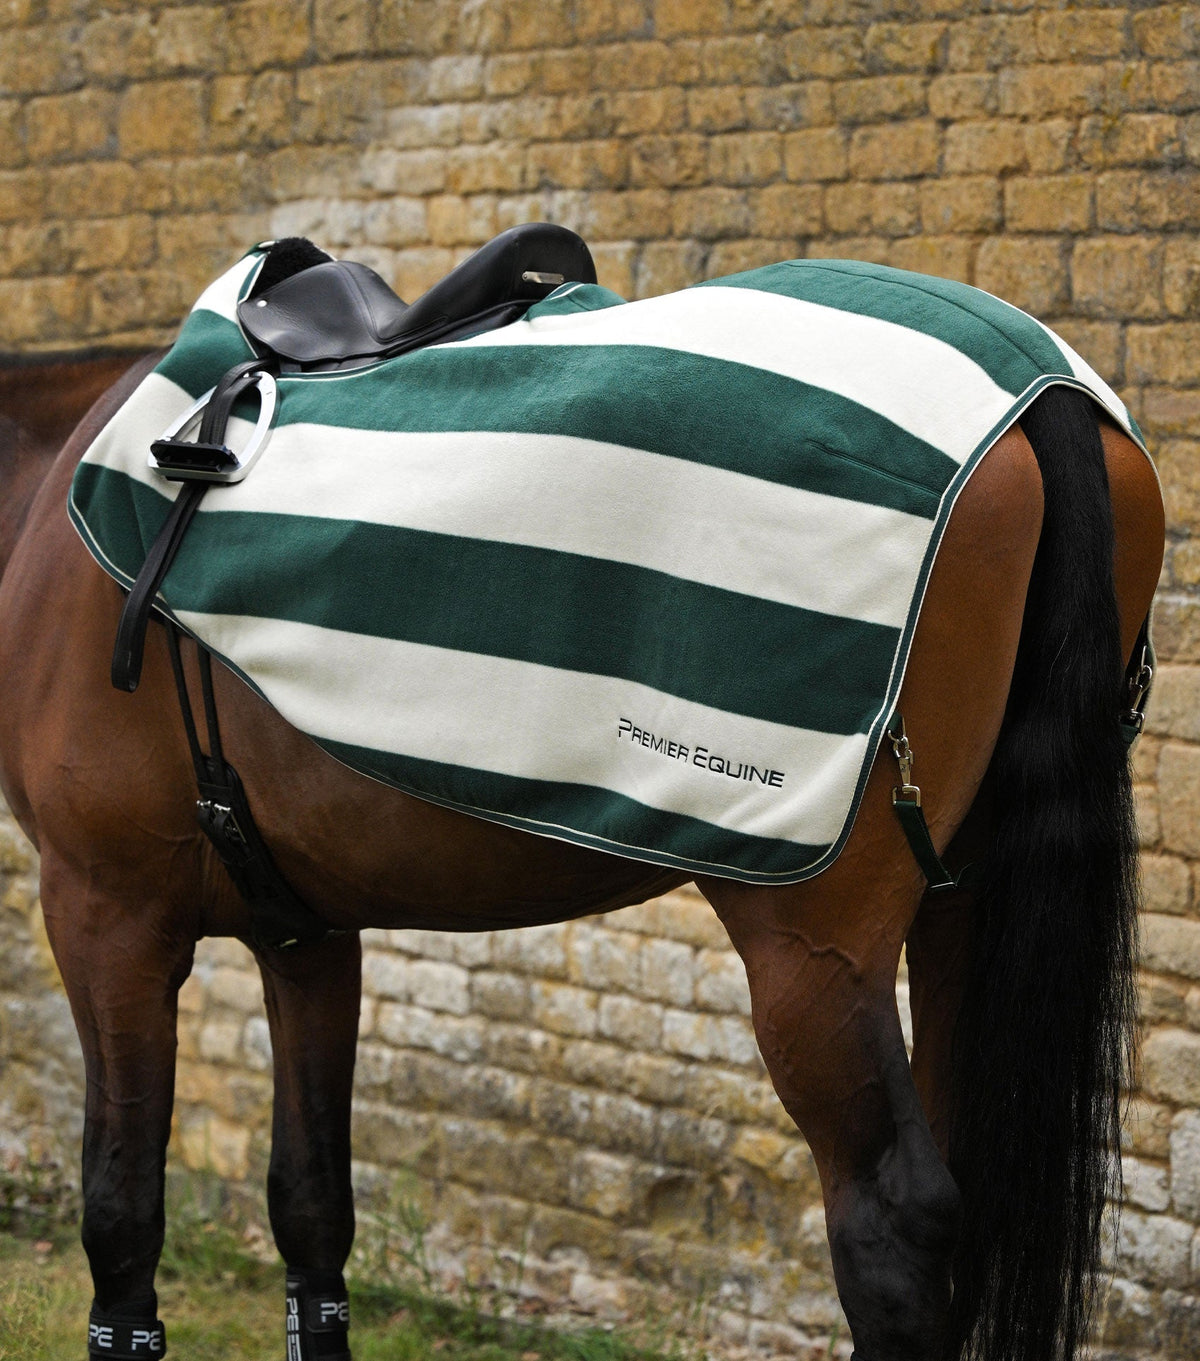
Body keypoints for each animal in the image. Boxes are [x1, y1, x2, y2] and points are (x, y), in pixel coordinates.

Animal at [0, 253, 1165, 1361]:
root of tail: (1042, 393)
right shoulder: (307, 932)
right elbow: (312, 1208)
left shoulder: (104, 914)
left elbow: (121, 1215)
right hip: (962, 908)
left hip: (815, 947)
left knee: (895, 1222)